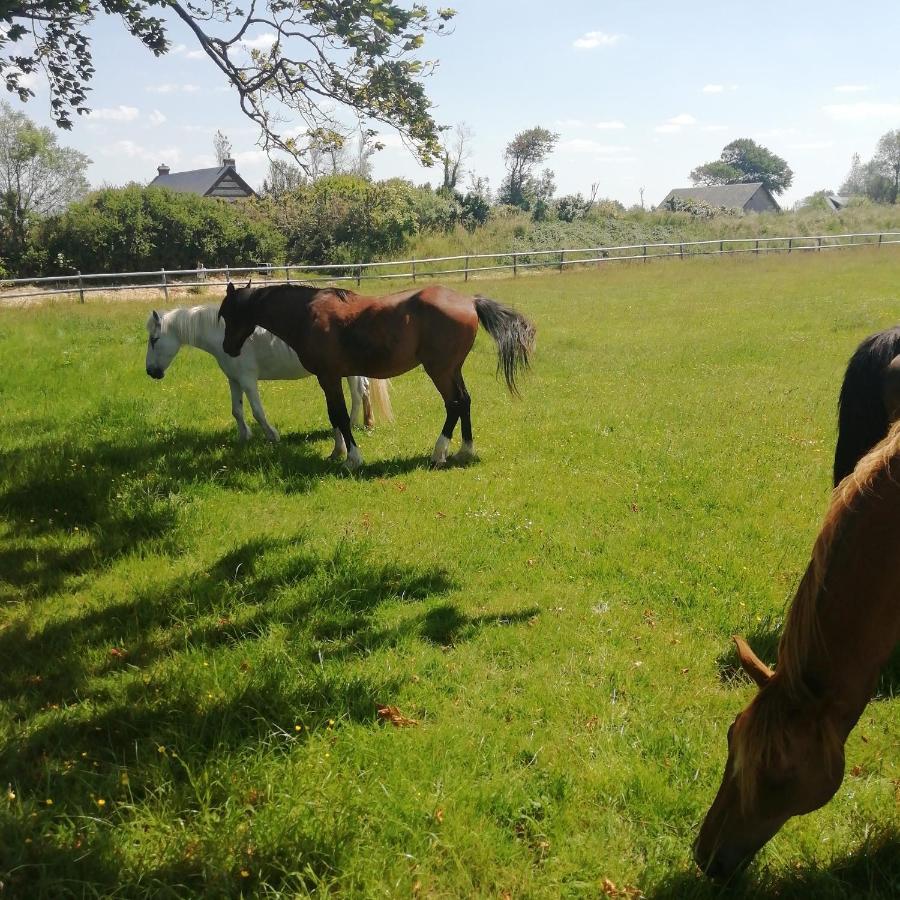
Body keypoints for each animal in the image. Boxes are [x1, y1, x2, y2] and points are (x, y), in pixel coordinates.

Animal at [144, 306, 390, 458]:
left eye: (154, 340)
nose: (151, 372)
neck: (225, 335)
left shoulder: (248, 380)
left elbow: (257, 412)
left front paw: (272, 436)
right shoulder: (234, 380)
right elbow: (237, 411)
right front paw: (244, 437)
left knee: (357, 395)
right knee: (363, 390)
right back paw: (365, 423)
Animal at [217, 284, 536, 472]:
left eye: (228, 314)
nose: (228, 347)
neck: (308, 315)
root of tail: (470, 301)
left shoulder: (330, 377)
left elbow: (341, 416)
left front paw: (352, 459)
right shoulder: (327, 378)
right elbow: (333, 416)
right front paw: (337, 451)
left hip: (440, 371)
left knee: (454, 404)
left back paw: (439, 453)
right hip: (453, 369)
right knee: (466, 402)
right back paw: (465, 451)